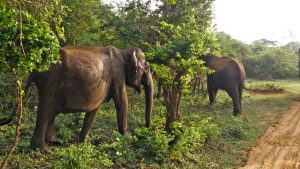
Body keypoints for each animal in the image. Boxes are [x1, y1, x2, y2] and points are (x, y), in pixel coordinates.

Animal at [0, 45, 154, 149]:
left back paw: (54, 142)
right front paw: (128, 137)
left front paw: (84, 141)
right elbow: (122, 100)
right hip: (50, 79)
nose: (146, 126)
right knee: (45, 110)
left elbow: (94, 110)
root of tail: (35, 66)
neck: (124, 51)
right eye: (146, 68)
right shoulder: (118, 75)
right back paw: (41, 148)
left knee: (51, 111)